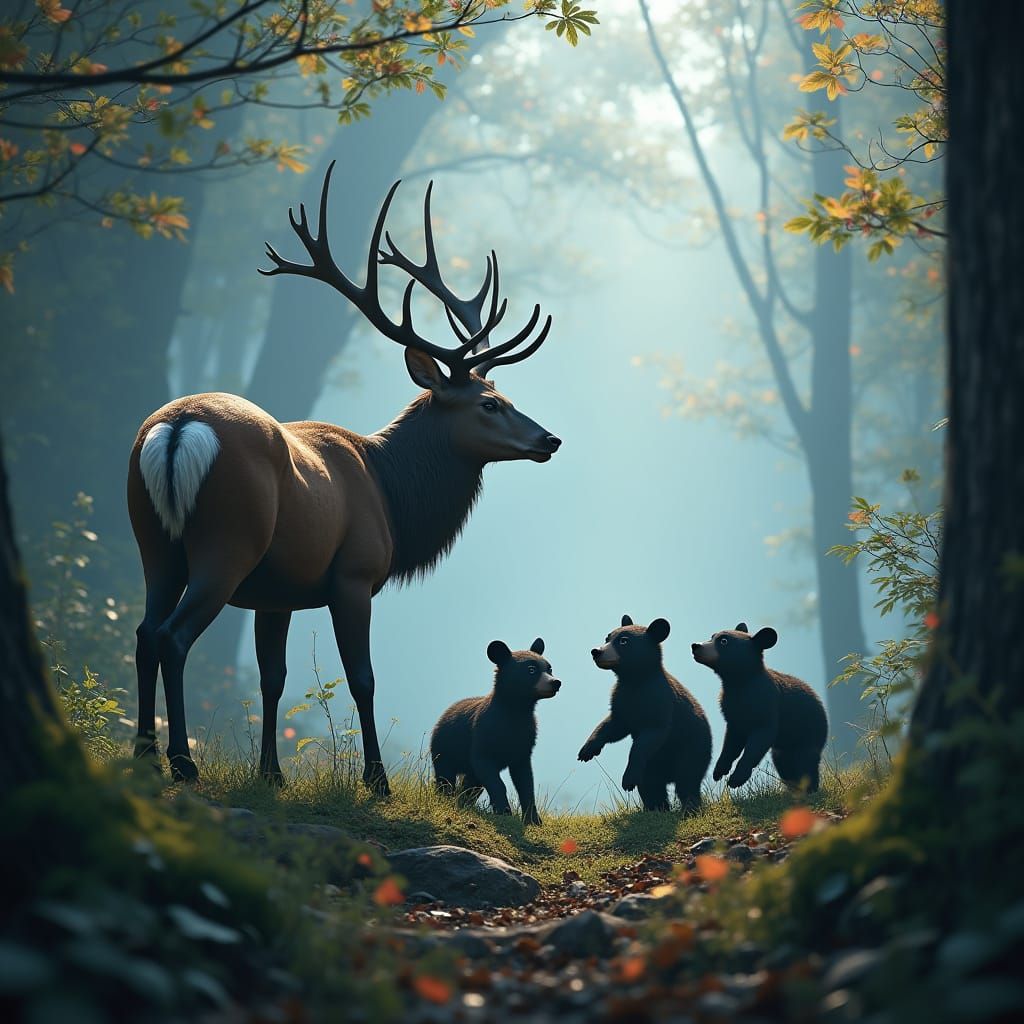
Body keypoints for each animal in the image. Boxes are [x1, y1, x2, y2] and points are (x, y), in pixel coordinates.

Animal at [127, 162, 561, 792]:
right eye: (489, 404)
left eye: (503, 395)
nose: (548, 440)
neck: (391, 495)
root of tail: (181, 426)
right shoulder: (353, 575)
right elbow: (363, 677)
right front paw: (375, 780)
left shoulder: (276, 591)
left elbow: (273, 676)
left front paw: (271, 774)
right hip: (228, 542)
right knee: (172, 636)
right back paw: (183, 762)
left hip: (153, 540)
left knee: (143, 632)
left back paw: (142, 753)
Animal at [431, 637, 560, 826]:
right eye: (531, 670)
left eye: (549, 668)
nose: (556, 682)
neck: (516, 712)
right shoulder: (484, 733)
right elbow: (490, 773)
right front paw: (504, 811)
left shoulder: (525, 741)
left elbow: (526, 782)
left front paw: (533, 820)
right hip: (444, 748)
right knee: (445, 776)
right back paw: (446, 798)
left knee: (471, 784)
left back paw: (463, 802)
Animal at [577, 615, 712, 812]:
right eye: (607, 638)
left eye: (624, 641)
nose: (596, 651)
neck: (635, 681)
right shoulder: (622, 701)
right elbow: (613, 725)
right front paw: (587, 750)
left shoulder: (659, 701)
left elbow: (650, 736)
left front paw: (628, 779)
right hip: (653, 767)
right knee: (651, 786)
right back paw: (656, 809)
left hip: (692, 749)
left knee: (687, 780)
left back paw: (689, 807)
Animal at [691, 622, 828, 792]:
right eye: (712, 636)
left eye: (724, 641)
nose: (695, 646)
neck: (738, 683)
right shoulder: (732, 712)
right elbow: (731, 743)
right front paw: (719, 771)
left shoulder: (766, 704)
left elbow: (759, 740)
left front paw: (736, 779)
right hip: (784, 749)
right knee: (785, 764)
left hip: (808, 734)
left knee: (806, 762)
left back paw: (809, 789)